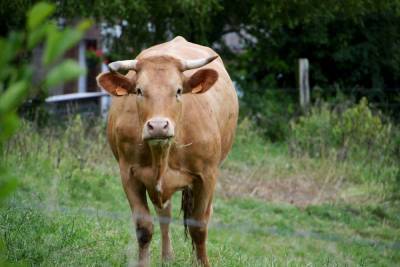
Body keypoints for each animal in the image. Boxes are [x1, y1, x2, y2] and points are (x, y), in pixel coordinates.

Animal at [96, 36, 238, 267]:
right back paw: (167, 256)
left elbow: (199, 227)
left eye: (178, 90)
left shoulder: (207, 176)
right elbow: (144, 228)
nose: (158, 126)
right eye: (139, 90)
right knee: (165, 214)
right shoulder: (128, 174)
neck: (162, 153)